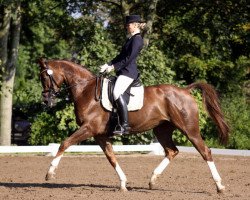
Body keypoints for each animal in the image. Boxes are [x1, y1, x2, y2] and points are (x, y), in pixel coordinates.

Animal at [38, 57, 229, 192]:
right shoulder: (99, 135)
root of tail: (185, 90)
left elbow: (64, 143)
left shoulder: (88, 128)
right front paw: (123, 184)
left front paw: (50, 173)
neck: (86, 91)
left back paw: (220, 186)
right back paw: (152, 180)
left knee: (205, 152)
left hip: (190, 129)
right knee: (172, 151)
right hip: (162, 130)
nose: (46, 101)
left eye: (45, 77)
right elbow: (111, 158)